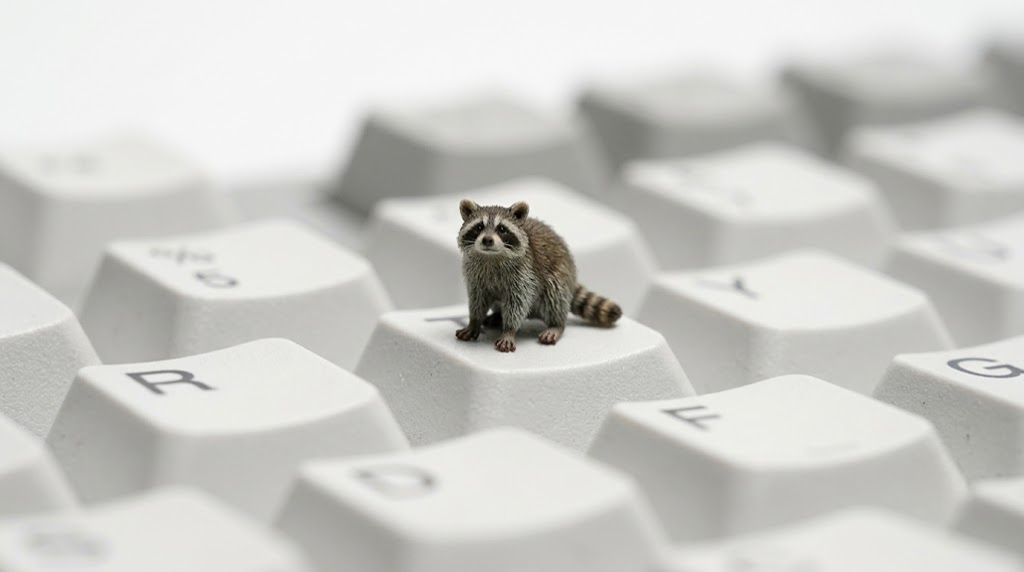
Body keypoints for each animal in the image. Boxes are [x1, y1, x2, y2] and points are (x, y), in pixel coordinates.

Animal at [455, 199, 621, 352]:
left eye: (501, 229)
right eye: (479, 227)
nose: (487, 240)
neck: (491, 258)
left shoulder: (525, 274)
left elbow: (518, 303)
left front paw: (509, 330)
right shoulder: (475, 276)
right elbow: (478, 299)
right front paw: (474, 321)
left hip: (559, 275)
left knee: (554, 297)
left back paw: (556, 325)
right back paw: (498, 315)